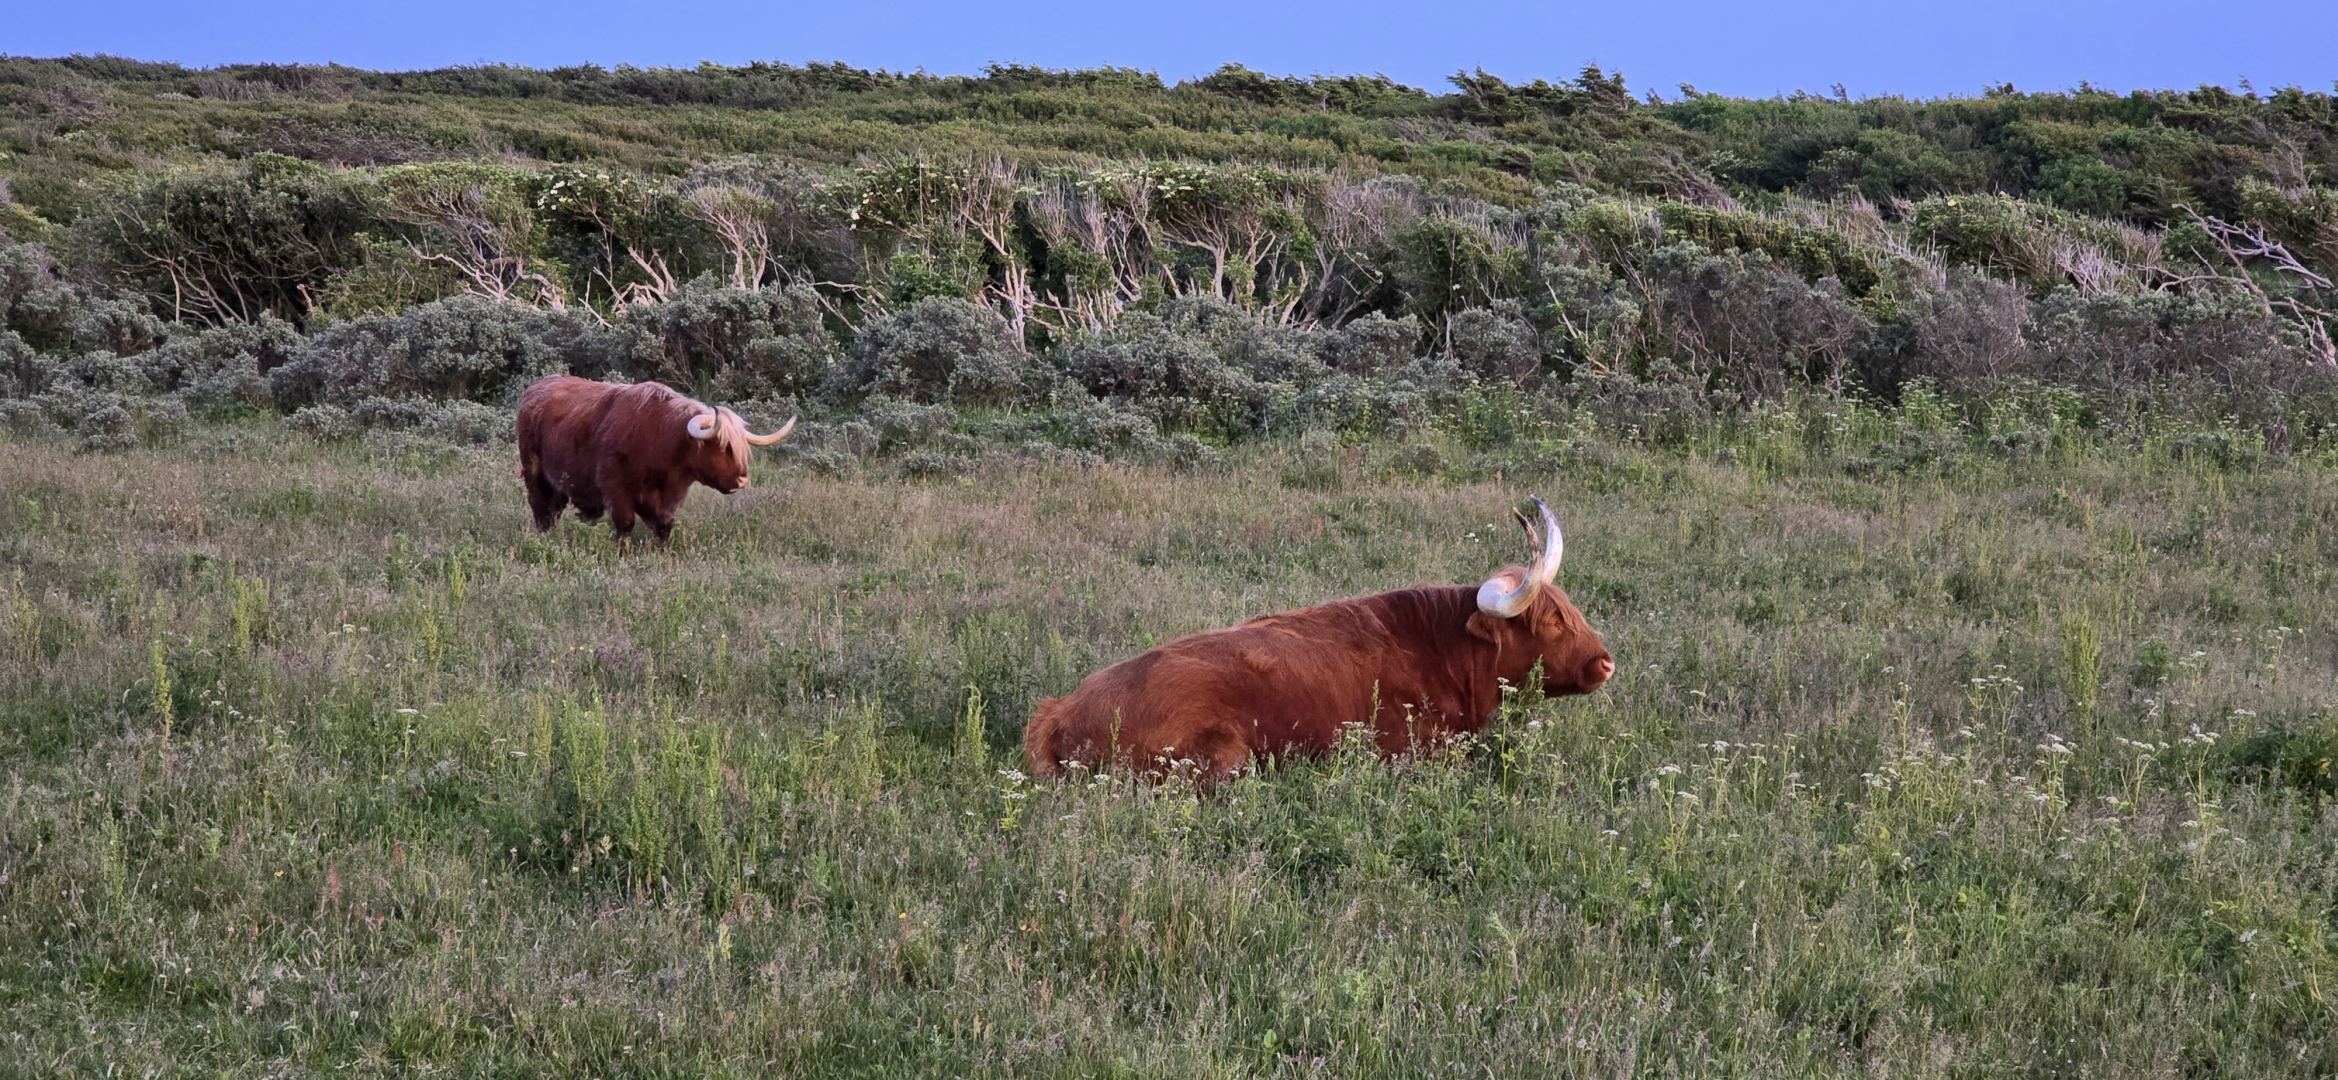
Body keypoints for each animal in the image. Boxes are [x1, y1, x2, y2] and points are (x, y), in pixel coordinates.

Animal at [515, 375, 796, 544]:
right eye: (722, 446)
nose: (741, 480)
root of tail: (536, 388)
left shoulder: (668, 498)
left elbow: (664, 526)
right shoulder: (615, 487)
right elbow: (625, 524)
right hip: (534, 471)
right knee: (540, 506)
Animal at [1023, 496, 1613, 779]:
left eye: (1571, 610)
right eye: (1551, 622)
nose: (1606, 663)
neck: (1438, 650)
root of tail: (1059, 709)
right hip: (1225, 760)